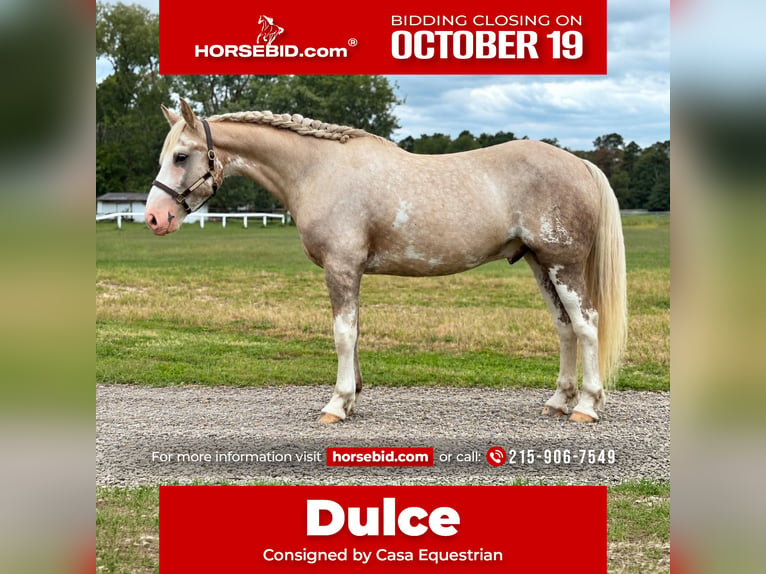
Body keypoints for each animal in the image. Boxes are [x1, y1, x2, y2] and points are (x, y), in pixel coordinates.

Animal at [146, 99, 627, 424]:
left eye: (181, 156)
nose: (154, 217)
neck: (318, 170)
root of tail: (580, 163)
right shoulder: (350, 271)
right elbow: (355, 333)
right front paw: (353, 396)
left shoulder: (341, 268)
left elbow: (342, 334)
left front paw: (337, 405)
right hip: (539, 265)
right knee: (564, 328)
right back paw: (559, 401)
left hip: (563, 265)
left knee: (586, 324)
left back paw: (586, 406)